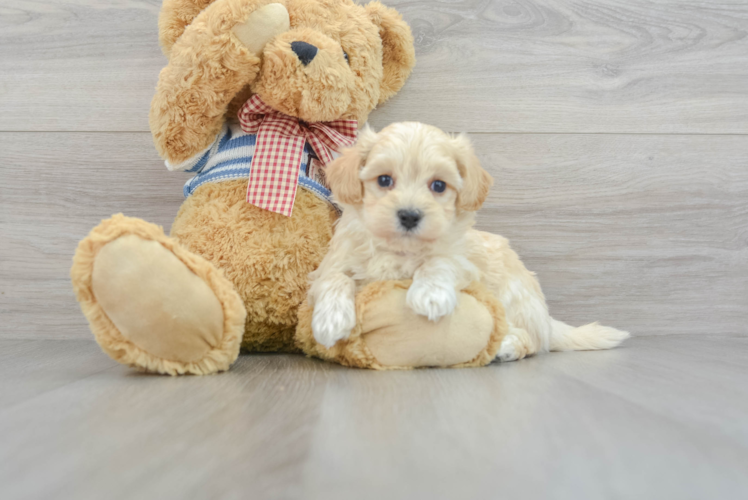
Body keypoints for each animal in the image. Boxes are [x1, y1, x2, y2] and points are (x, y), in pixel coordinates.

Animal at [306, 123, 628, 362]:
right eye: (384, 180)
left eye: (438, 185)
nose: (409, 215)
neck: (401, 249)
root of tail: (546, 319)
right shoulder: (334, 261)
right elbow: (334, 277)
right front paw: (330, 320)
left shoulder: (465, 262)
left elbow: (440, 261)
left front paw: (430, 295)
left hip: (513, 298)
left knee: (531, 341)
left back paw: (505, 347)